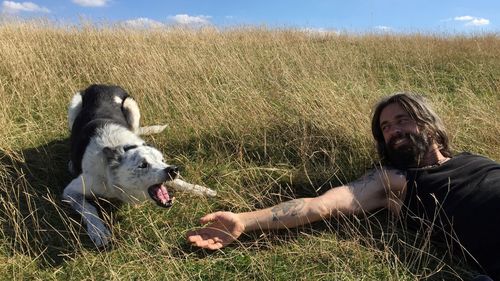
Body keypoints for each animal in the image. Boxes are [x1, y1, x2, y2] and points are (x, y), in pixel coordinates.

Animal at [62, 84, 215, 246]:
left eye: (162, 160)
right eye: (143, 165)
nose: (173, 170)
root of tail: (100, 85)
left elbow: (179, 182)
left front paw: (200, 189)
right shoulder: (70, 191)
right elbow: (90, 209)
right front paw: (98, 231)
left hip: (132, 106)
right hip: (74, 105)